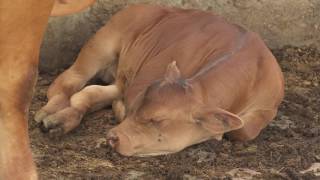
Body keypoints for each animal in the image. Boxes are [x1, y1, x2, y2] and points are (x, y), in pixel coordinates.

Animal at [35, 3, 284, 156]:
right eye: (136, 110)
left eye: (158, 120)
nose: (113, 137)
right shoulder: (138, 85)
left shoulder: (267, 108)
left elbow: (242, 131)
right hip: (101, 45)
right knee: (68, 83)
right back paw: (50, 114)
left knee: (89, 93)